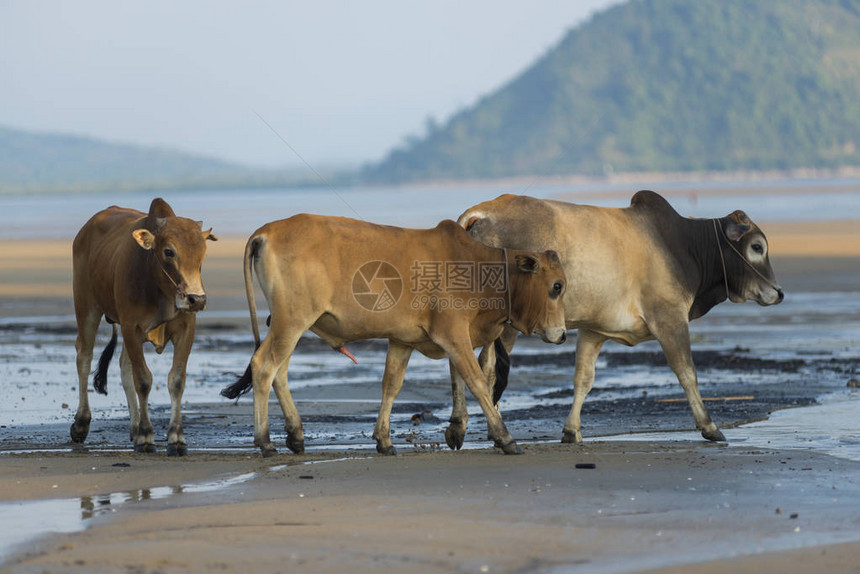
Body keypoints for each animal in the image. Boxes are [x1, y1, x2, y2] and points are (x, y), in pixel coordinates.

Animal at [71, 200, 218, 456]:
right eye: (169, 251)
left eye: (202, 253)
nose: (196, 299)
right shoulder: (132, 328)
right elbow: (143, 380)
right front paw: (146, 437)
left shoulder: (186, 330)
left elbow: (176, 380)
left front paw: (176, 437)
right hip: (87, 307)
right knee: (84, 357)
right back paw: (81, 423)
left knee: (123, 365)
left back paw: (134, 426)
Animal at [218, 216, 568, 460]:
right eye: (556, 286)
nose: (563, 335)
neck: (480, 270)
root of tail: (267, 231)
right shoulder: (455, 337)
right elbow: (478, 383)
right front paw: (506, 438)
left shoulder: (403, 341)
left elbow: (392, 384)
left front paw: (384, 440)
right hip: (291, 321)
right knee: (264, 366)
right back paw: (265, 442)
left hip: (292, 324)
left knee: (280, 372)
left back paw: (296, 436)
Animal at [446, 191, 784, 448]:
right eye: (757, 247)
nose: (778, 293)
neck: (682, 247)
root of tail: (480, 215)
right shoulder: (670, 318)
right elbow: (687, 373)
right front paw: (710, 426)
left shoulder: (594, 330)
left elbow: (584, 378)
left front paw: (572, 431)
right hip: (505, 325)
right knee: (483, 367)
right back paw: (492, 430)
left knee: (460, 360)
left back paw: (459, 427)